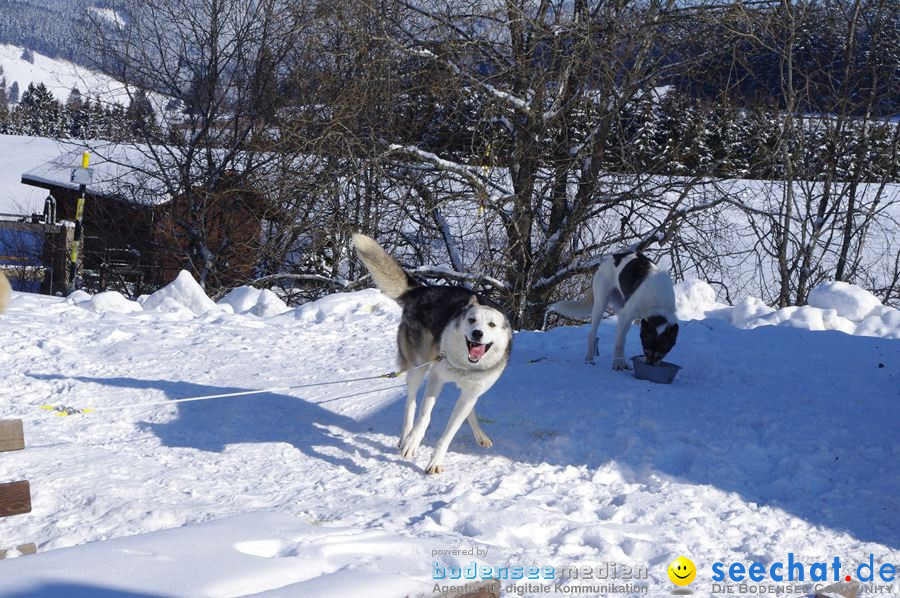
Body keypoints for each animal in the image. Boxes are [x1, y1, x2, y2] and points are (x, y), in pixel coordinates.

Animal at [350, 233, 510, 474]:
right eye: (471, 320)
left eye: (491, 324)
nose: (477, 333)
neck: (466, 364)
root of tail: (422, 290)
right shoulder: (436, 377)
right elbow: (424, 415)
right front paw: (413, 442)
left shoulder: (471, 393)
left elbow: (451, 431)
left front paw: (436, 461)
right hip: (419, 365)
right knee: (411, 403)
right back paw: (405, 437)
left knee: (467, 410)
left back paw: (480, 435)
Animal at [544, 252, 680, 370]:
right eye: (647, 347)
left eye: (663, 350)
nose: (650, 364)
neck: (659, 307)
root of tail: (611, 257)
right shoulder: (626, 315)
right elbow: (618, 344)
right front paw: (617, 364)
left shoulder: (627, 318)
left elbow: (621, 341)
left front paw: (621, 362)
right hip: (601, 304)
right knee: (593, 334)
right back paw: (590, 358)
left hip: (621, 310)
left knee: (621, 337)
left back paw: (623, 362)